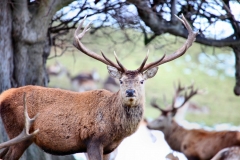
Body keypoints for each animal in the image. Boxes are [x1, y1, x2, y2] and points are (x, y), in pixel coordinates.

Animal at [0, 15, 197, 160]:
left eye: (142, 81)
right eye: (121, 81)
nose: (130, 92)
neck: (115, 129)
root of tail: (4, 95)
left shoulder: (110, 149)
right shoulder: (93, 141)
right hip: (19, 131)